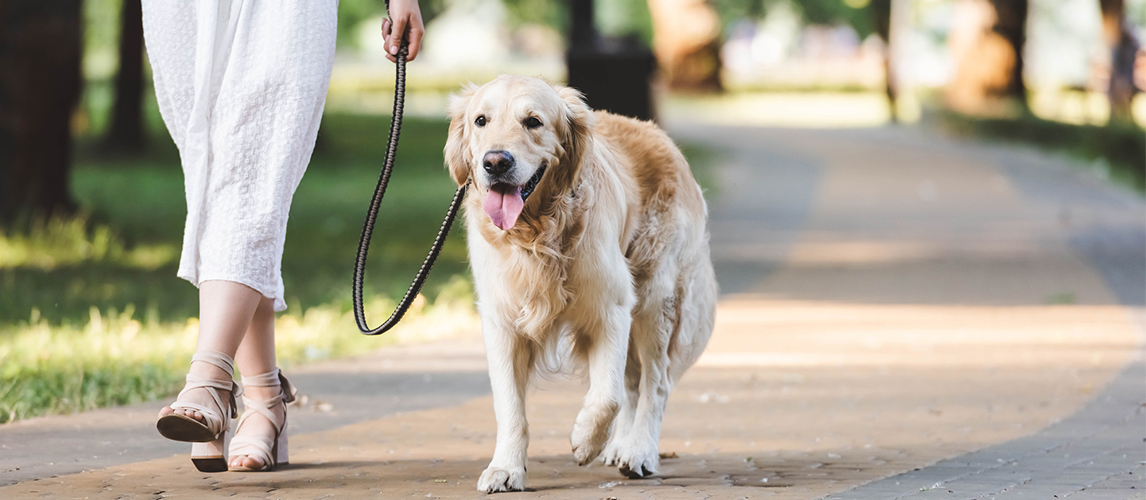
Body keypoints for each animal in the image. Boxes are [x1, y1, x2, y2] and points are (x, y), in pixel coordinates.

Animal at [442, 75, 710, 493]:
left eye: (533, 121)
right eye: (480, 120)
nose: (495, 162)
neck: (537, 236)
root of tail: (660, 136)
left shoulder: (612, 308)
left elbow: (607, 396)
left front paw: (585, 440)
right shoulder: (501, 321)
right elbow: (509, 405)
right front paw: (505, 468)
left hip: (655, 297)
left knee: (655, 382)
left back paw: (639, 451)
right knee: (633, 381)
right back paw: (620, 447)